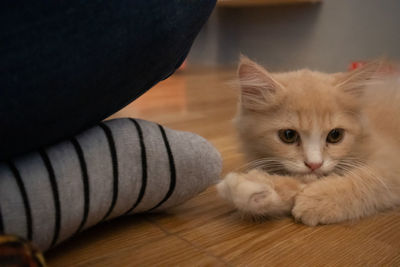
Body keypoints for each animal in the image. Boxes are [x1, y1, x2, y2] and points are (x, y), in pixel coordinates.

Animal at [217, 56, 400, 226]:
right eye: (288, 135)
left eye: (335, 135)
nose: (314, 164)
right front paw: (258, 188)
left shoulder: (391, 162)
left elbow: (365, 181)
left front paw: (319, 200)